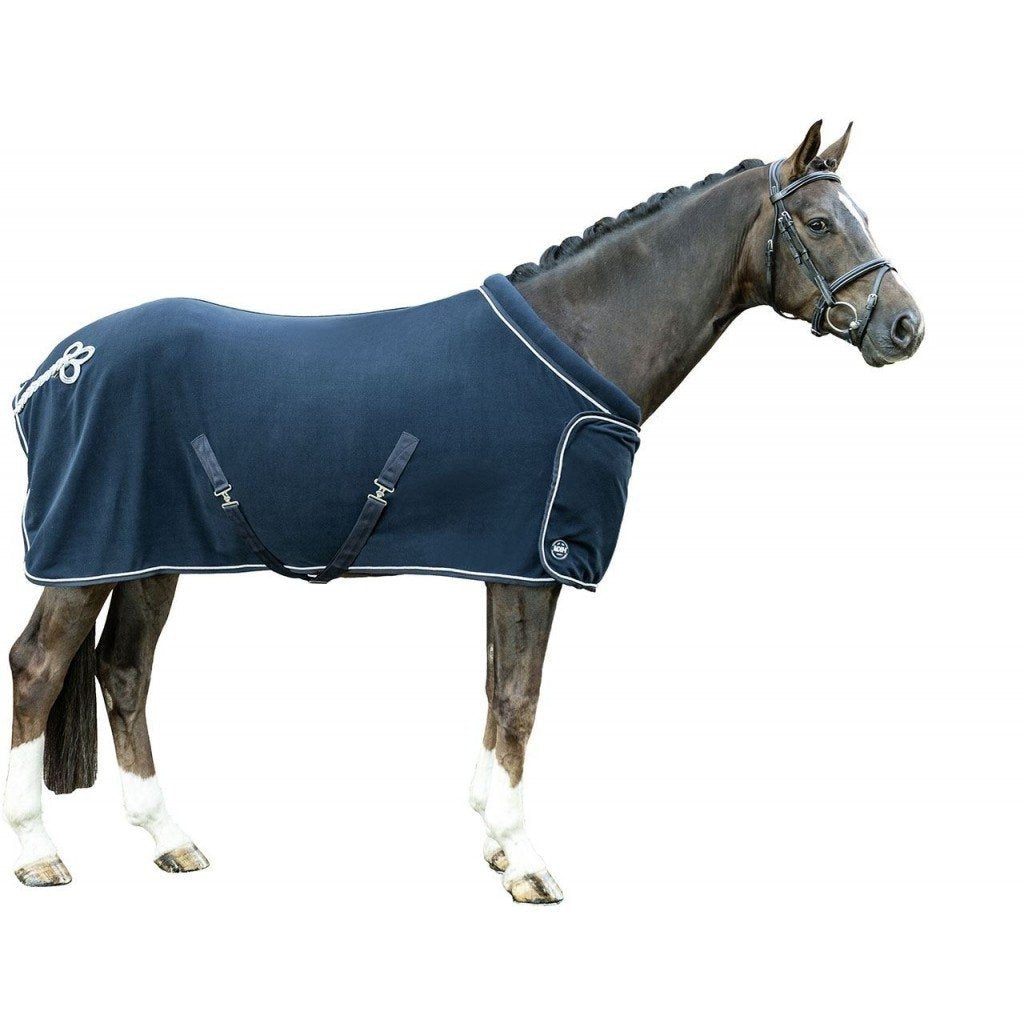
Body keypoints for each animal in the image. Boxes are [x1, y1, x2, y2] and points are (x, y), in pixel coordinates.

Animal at [4, 121, 924, 901]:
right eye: (820, 222)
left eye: (864, 216)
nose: (906, 327)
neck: (579, 340)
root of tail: (58, 365)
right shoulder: (538, 561)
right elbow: (520, 696)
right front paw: (527, 861)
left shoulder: (502, 560)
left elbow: (493, 686)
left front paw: (493, 839)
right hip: (86, 556)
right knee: (39, 666)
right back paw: (40, 854)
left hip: (147, 556)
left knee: (125, 672)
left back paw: (170, 839)